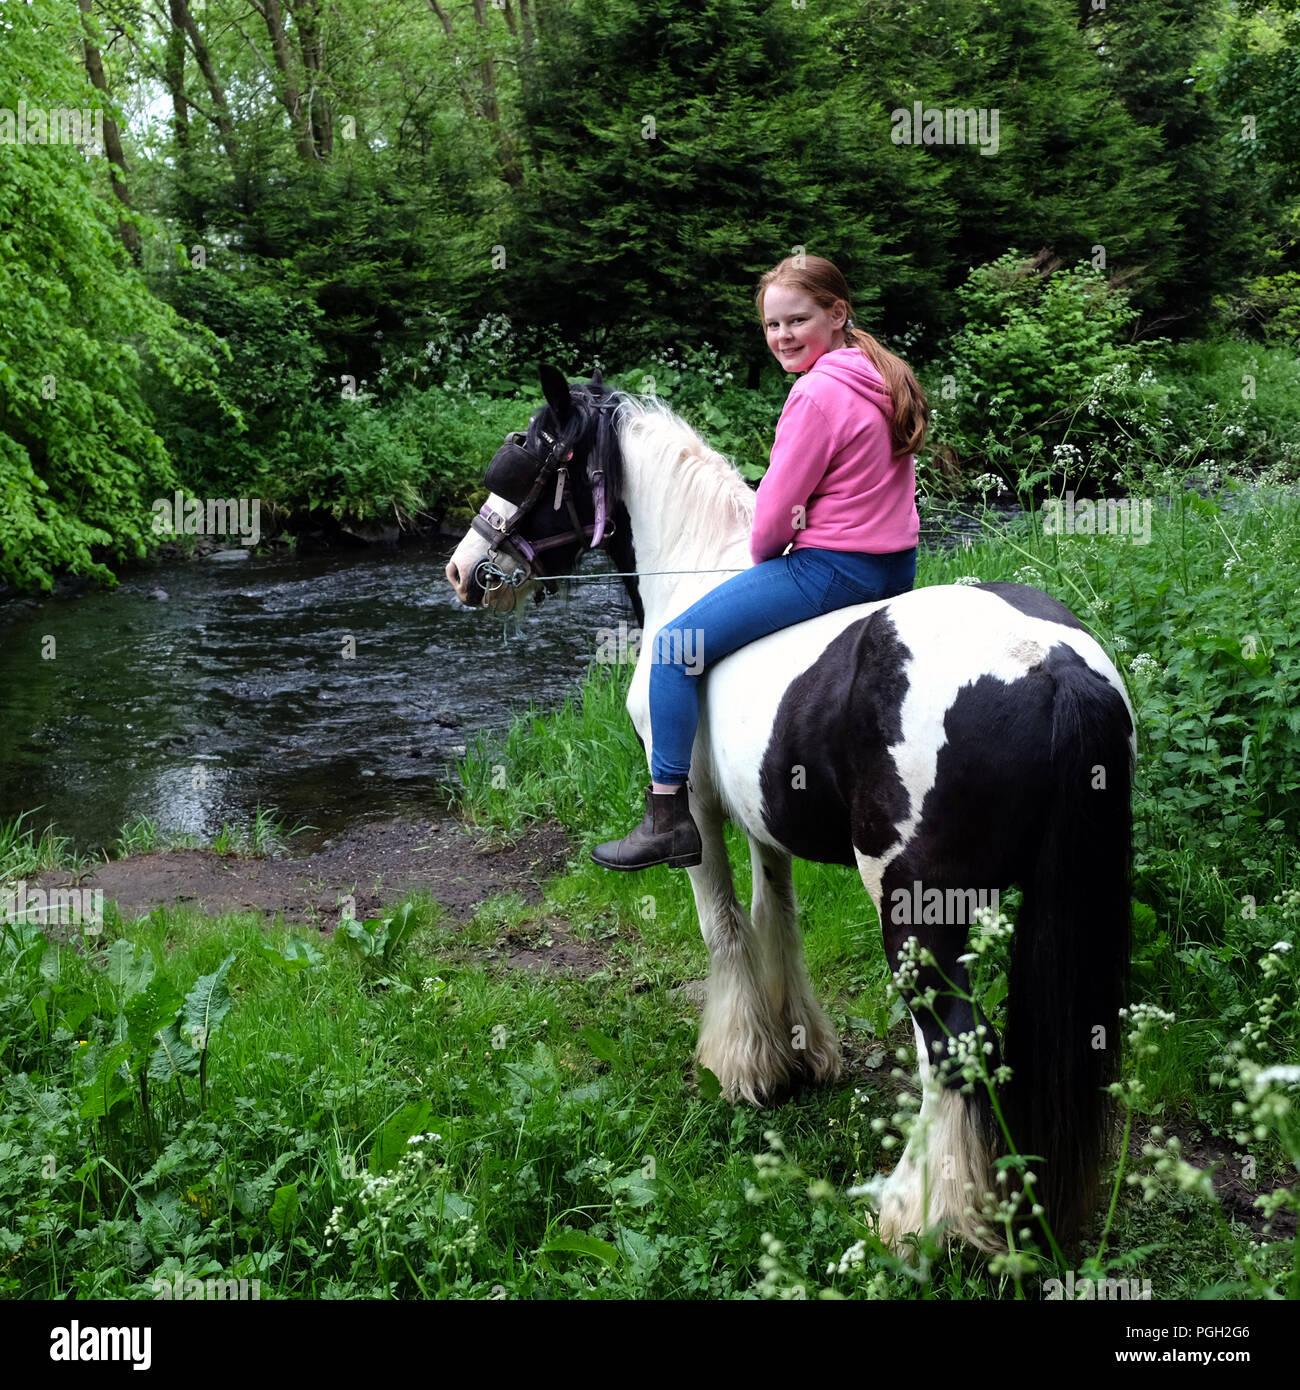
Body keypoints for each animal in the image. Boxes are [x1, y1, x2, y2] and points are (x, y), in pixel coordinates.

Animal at [442, 366, 1134, 1251]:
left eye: (527, 445)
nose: (463, 570)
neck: (695, 571)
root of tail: (1054, 667)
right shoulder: (763, 819)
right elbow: (777, 915)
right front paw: (797, 1049)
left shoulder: (697, 812)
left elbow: (725, 927)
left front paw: (742, 1066)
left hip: (917, 908)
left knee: (950, 1047)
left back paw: (914, 1212)